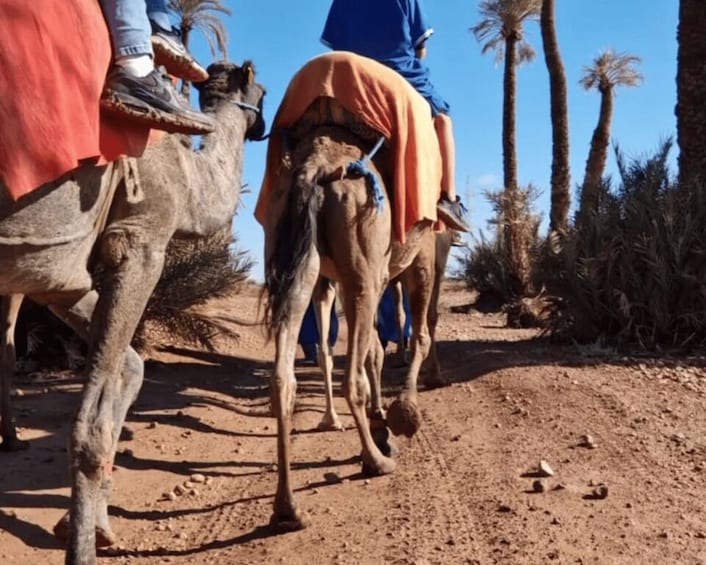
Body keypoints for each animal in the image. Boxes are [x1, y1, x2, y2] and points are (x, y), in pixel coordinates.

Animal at [0, 61, 264, 564]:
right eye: (260, 89)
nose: (262, 126)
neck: (188, 175)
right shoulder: (141, 240)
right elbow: (92, 423)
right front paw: (83, 544)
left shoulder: (57, 275)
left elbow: (131, 367)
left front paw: (91, 526)